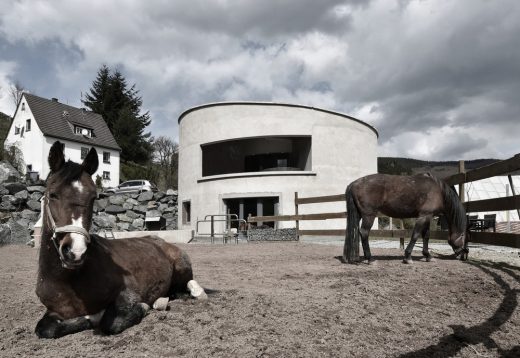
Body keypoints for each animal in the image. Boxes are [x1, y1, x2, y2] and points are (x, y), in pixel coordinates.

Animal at [34, 141, 205, 338]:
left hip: (181, 265)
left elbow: (110, 323)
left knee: (189, 285)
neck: (69, 281)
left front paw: (142, 307)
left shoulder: (127, 295)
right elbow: (45, 328)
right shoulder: (54, 311)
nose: (76, 251)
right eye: (52, 194)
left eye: (94, 197)